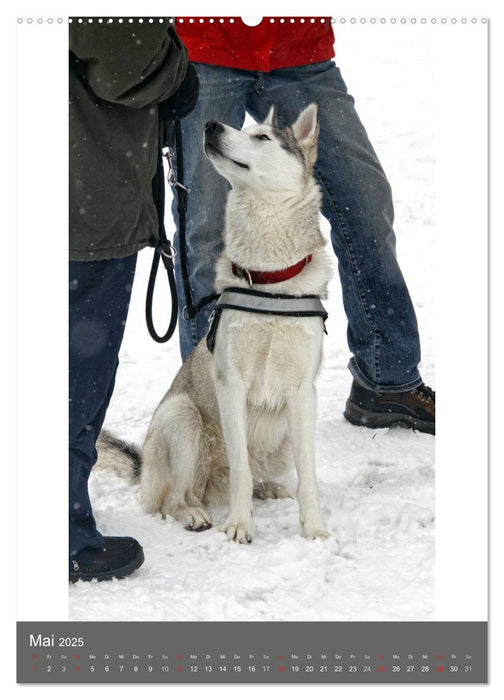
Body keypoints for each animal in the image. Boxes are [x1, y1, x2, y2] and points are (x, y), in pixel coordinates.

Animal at [100, 102, 332, 540]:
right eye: (246, 129)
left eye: (263, 137)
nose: (210, 126)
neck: (268, 281)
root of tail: (144, 471)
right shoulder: (231, 384)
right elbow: (241, 470)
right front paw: (240, 525)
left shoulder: (302, 393)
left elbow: (309, 475)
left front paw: (314, 529)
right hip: (183, 417)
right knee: (177, 498)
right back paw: (194, 514)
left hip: (279, 442)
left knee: (251, 475)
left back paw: (269, 488)